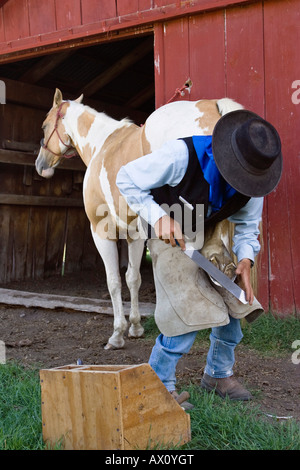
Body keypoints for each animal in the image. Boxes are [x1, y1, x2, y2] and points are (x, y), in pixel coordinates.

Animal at [35, 90, 243, 350]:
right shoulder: (134, 234)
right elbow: (133, 278)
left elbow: (114, 280)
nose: (40, 165)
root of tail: (212, 108)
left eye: (44, 126)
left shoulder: (101, 231)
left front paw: (117, 334)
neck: (102, 145)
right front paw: (134, 327)